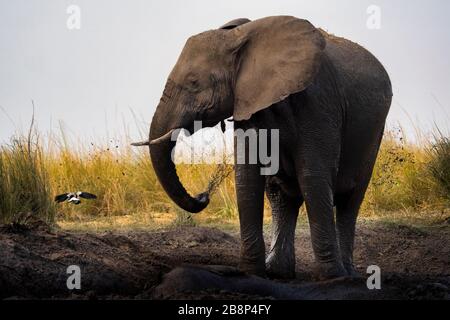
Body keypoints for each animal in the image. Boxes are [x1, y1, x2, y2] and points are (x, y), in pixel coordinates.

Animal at [147, 15, 390, 280]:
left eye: (193, 82)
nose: (203, 196)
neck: (242, 37)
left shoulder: (318, 102)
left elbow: (313, 176)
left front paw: (332, 277)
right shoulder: (248, 103)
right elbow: (247, 177)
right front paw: (251, 273)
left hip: (373, 135)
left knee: (349, 202)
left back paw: (347, 275)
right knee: (281, 196)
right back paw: (279, 272)